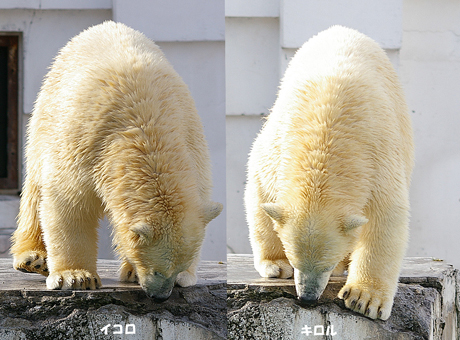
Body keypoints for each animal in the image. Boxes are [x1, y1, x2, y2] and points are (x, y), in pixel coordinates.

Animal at [11, 20, 223, 300]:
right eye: (157, 271)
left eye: (177, 268)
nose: (160, 296)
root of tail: (105, 25)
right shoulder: (86, 146)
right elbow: (68, 202)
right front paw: (76, 276)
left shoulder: (191, 145)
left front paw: (176, 276)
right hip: (46, 112)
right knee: (36, 186)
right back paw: (32, 259)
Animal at [246, 25, 416, 318]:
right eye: (295, 261)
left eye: (325, 264)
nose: (307, 298)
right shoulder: (277, 148)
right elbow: (259, 192)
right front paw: (275, 264)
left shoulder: (377, 154)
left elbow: (386, 215)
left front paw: (365, 299)